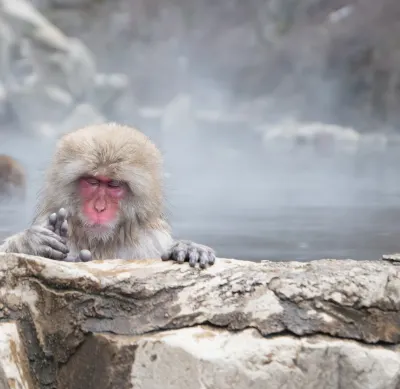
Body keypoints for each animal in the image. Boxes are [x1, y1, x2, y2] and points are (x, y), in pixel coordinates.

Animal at [0, 122, 216, 266]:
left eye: (113, 184)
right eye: (93, 182)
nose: (99, 208)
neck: (102, 243)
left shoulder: (151, 241)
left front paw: (186, 248)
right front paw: (28, 243)